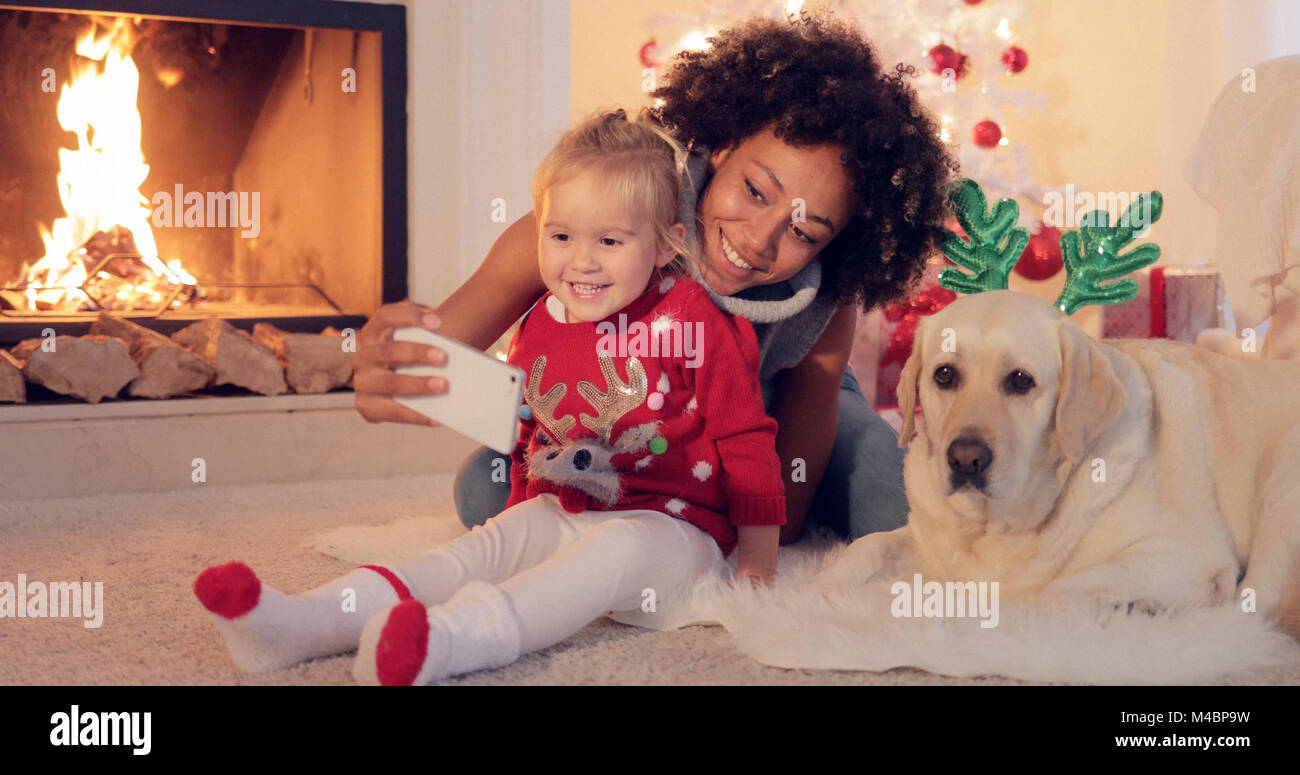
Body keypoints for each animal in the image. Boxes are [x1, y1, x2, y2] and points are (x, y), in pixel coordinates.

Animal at [816, 291, 1300, 634]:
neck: (996, 527)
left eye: (1020, 380)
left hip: (1281, 487)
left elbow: (1048, 591)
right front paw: (815, 590)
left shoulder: (1189, 554)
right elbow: (869, 544)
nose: (965, 459)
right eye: (945, 375)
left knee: (1249, 608)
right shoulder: (927, 540)